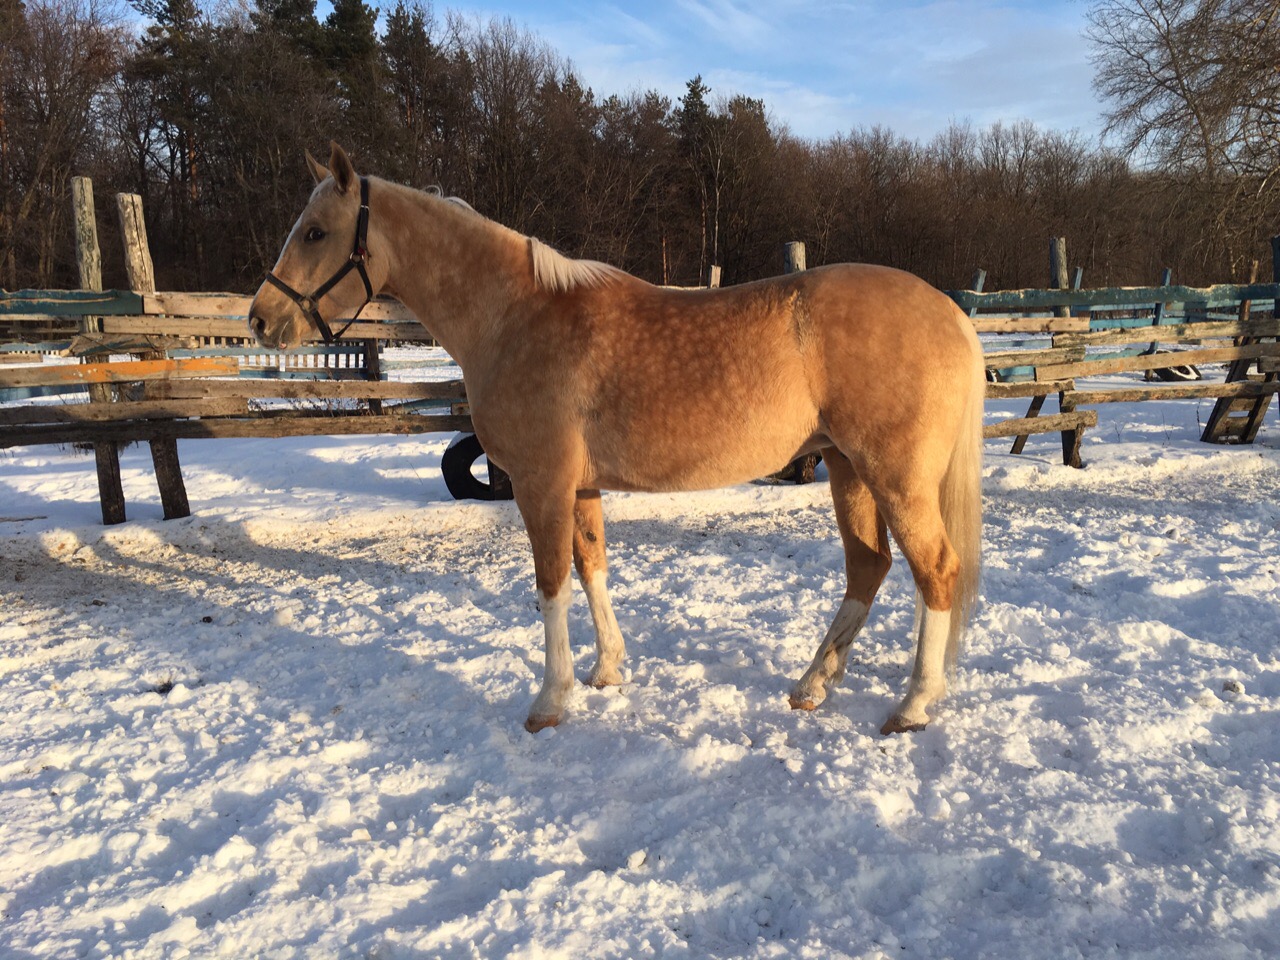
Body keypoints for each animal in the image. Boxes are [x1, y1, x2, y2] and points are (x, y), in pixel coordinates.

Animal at [249, 142, 985, 735]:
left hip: (892, 476)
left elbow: (550, 583)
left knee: (935, 570)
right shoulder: (580, 486)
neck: (516, 315)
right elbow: (591, 567)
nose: (260, 320)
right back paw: (812, 685)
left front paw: (550, 701)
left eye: (315, 232)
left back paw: (913, 704)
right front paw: (606, 672)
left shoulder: (540, 483)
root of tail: (950, 313)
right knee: (869, 567)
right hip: (846, 467)